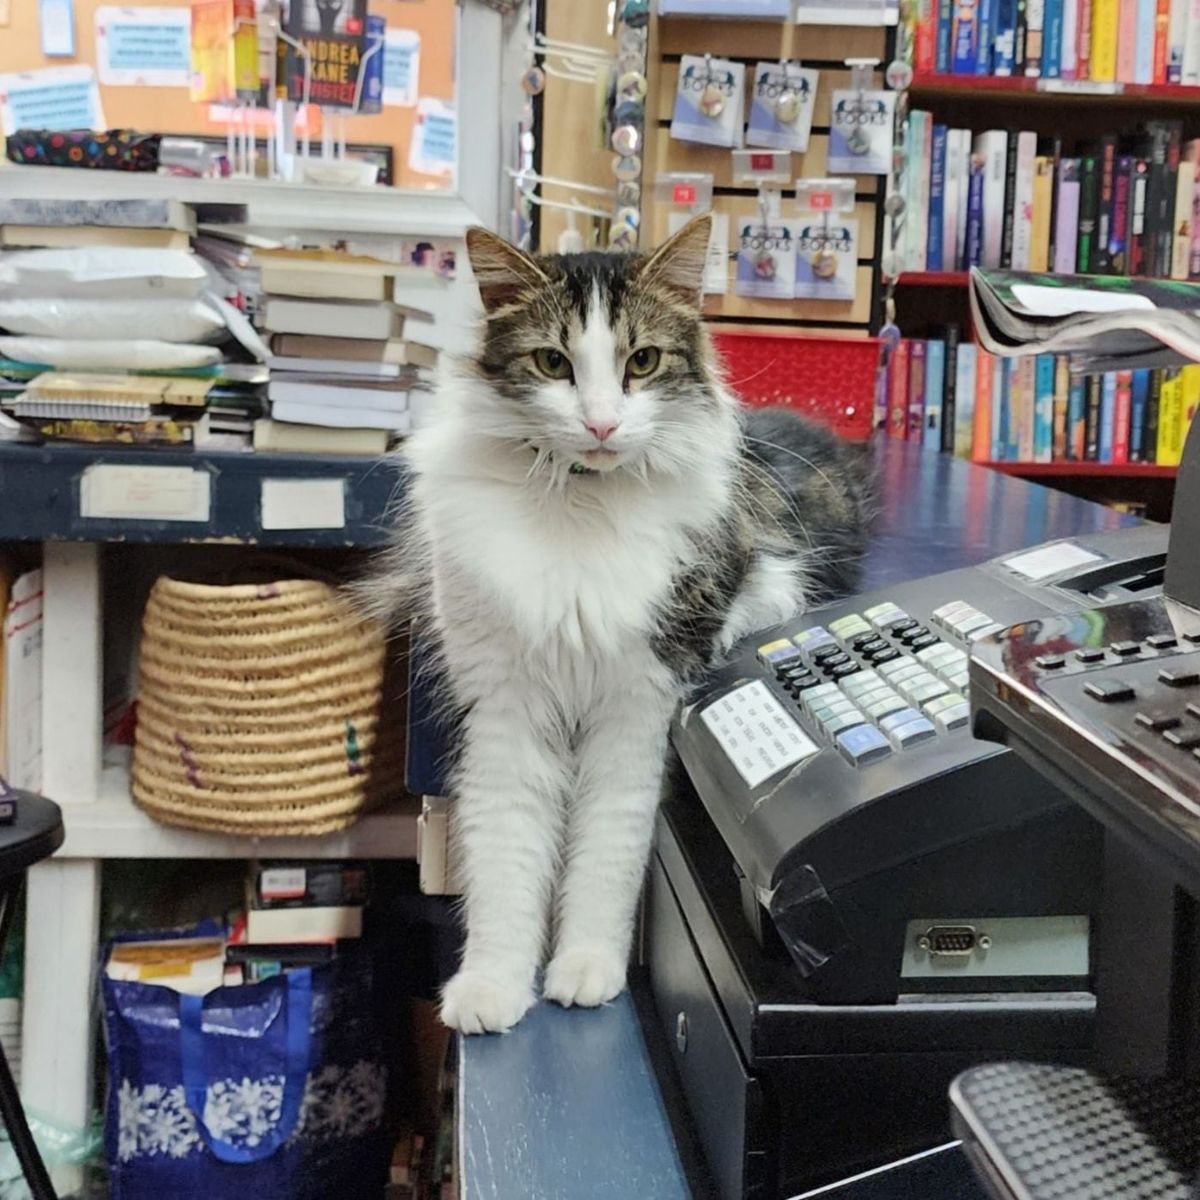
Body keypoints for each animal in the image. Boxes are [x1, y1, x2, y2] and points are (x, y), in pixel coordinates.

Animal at [355, 213, 873, 1032]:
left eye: (642, 361)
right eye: (552, 362)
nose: (600, 425)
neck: (579, 500)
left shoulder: (640, 702)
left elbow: (608, 848)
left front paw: (588, 964)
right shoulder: (504, 708)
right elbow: (505, 860)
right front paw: (494, 985)